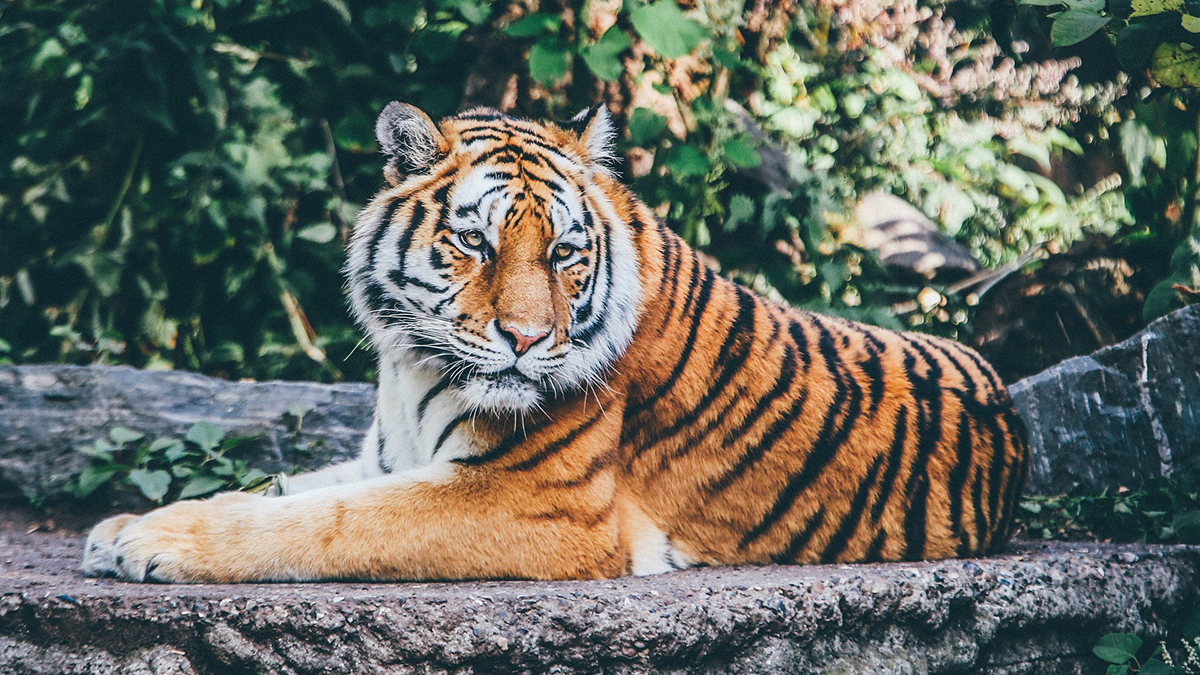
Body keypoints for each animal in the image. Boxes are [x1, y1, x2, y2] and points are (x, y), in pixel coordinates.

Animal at [82, 102, 1028, 583]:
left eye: (566, 253)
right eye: (476, 243)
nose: (527, 339)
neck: (410, 365)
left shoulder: (534, 502)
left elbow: (325, 521)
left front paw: (154, 543)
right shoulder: (387, 456)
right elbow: (284, 489)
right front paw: (124, 525)